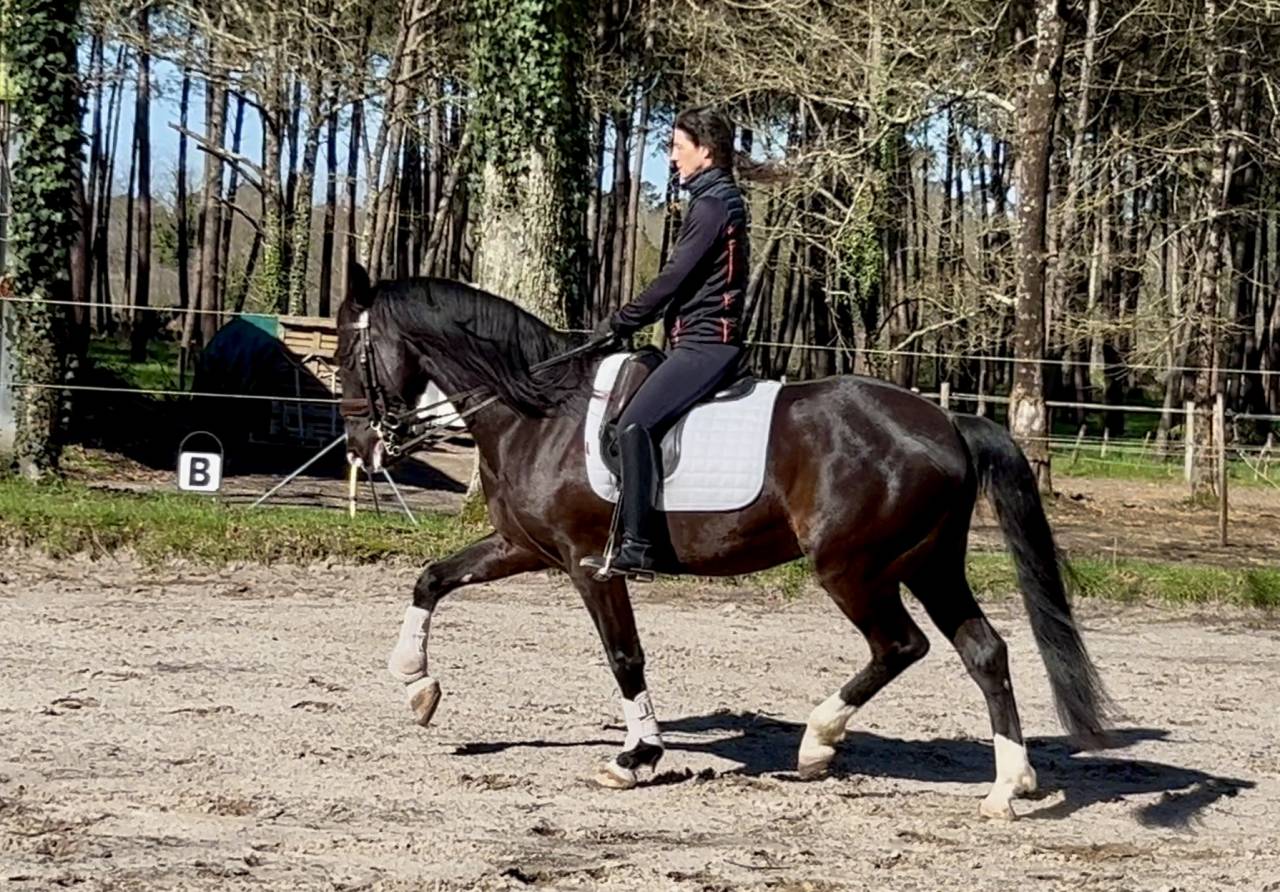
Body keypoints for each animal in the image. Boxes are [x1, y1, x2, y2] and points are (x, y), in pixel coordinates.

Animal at [335, 264, 1112, 820]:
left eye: (348, 352)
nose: (363, 448)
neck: (540, 410)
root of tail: (949, 423)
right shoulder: (524, 546)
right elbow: (433, 577)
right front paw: (416, 685)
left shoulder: (590, 565)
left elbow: (624, 655)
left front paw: (636, 758)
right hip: (929, 564)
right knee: (984, 651)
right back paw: (1008, 786)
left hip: (852, 569)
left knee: (900, 645)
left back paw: (817, 743)